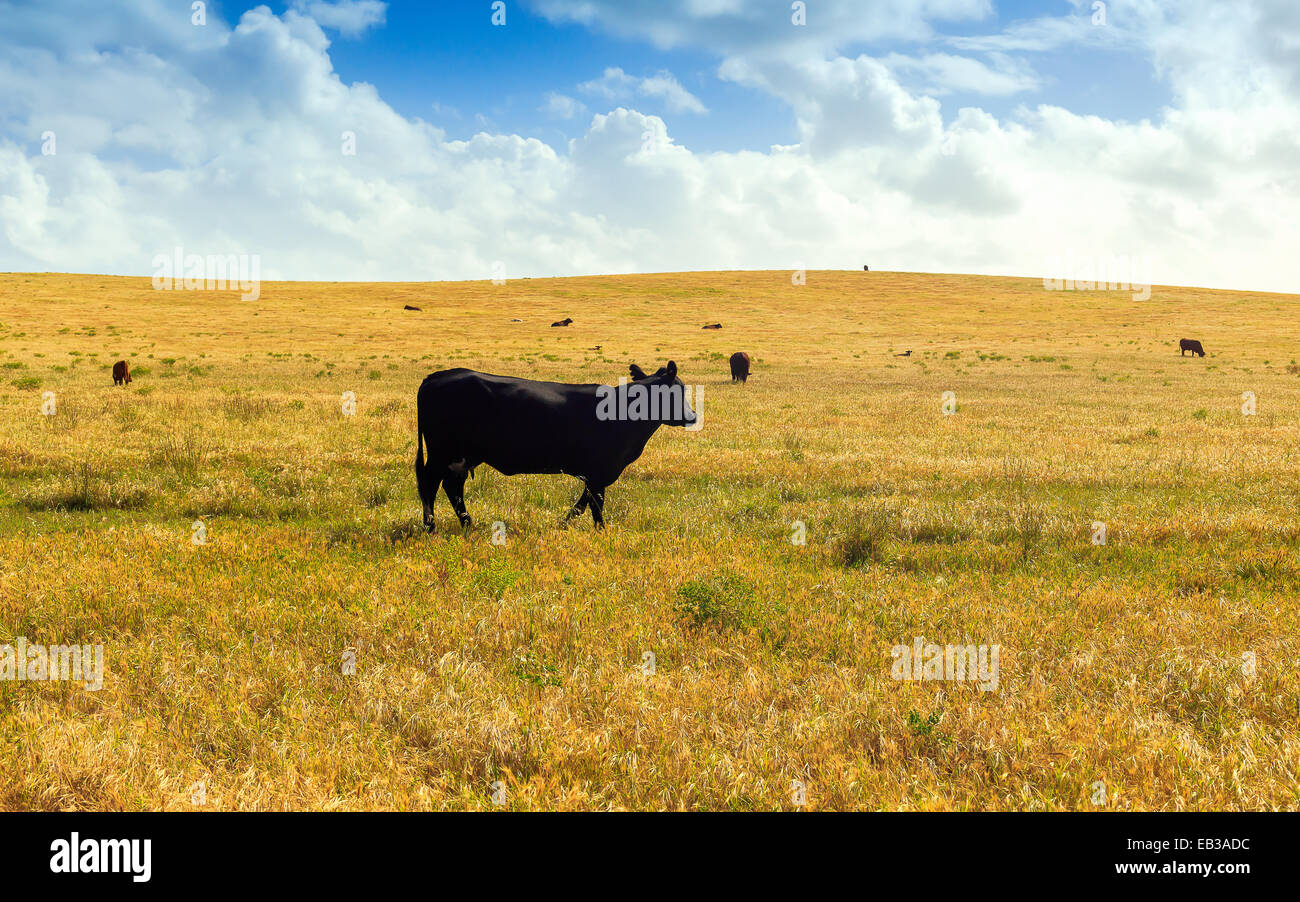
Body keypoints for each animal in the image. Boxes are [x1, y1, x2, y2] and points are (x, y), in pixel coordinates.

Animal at [415, 362, 696, 530]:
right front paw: (601, 532)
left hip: (461, 456)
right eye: (676, 392)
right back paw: (431, 526)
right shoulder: (601, 470)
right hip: (442, 453)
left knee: (452, 486)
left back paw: (467, 524)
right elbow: (596, 505)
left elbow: (583, 503)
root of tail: (437, 376)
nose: (692, 416)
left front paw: (565, 523)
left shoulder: (596, 473)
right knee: (431, 483)